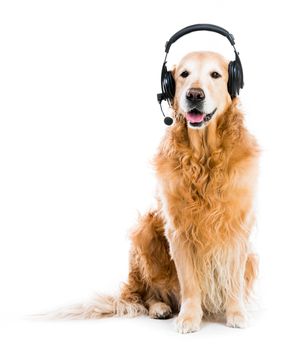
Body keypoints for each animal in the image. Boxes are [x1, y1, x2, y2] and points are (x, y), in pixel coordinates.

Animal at [53, 50, 258, 334]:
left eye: (215, 74)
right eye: (184, 74)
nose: (195, 95)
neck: (203, 157)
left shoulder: (238, 226)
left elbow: (234, 279)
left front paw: (236, 313)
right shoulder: (178, 229)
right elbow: (189, 282)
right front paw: (189, 317)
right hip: (145, 230)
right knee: (146, 294)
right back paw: (160, 307)